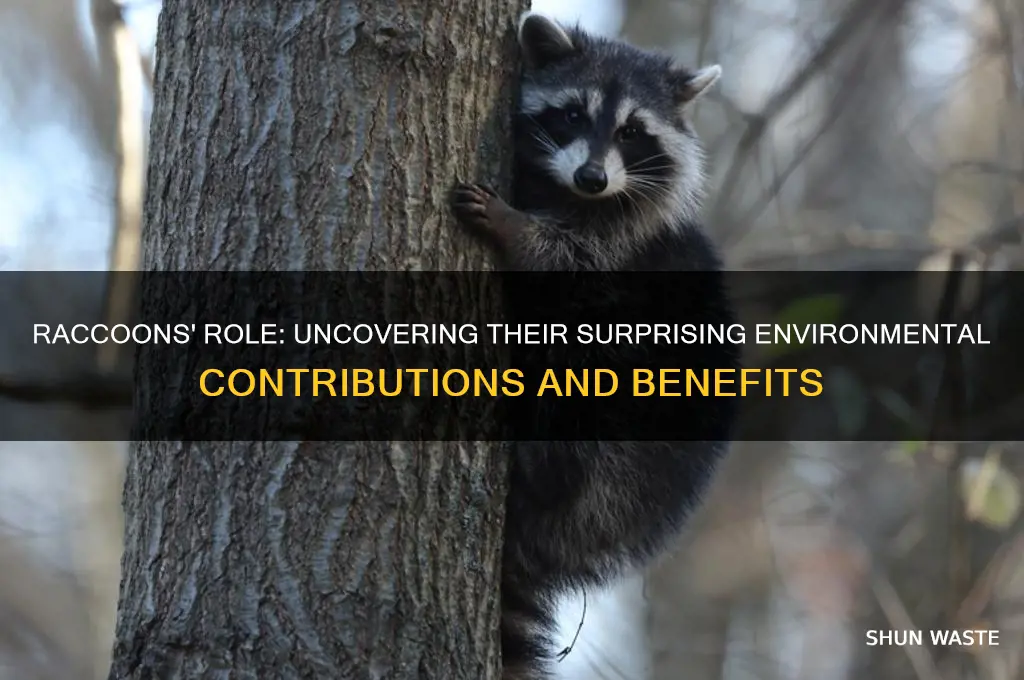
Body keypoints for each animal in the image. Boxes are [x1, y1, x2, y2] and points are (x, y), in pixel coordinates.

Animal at [450, 12, 737, 680]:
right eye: (572, 115)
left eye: (632, 132)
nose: (592, 177)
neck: (563, 192)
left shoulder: (624, 241)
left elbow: (565, 261)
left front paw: (517, 230)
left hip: (630, 439)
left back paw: (547, 465)